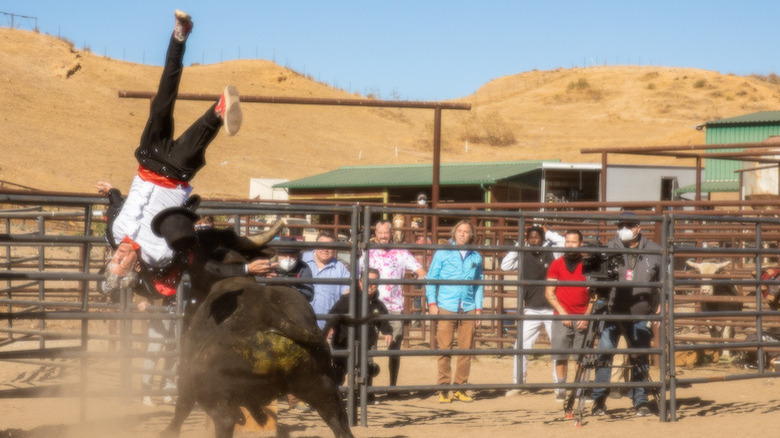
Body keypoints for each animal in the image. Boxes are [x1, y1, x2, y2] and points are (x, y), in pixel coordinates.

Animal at [161, 278, 354, 438]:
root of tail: (270, 312)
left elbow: (183, 405)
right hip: (322, 385)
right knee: (339, 422)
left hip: (207, 388)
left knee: (224, 420)